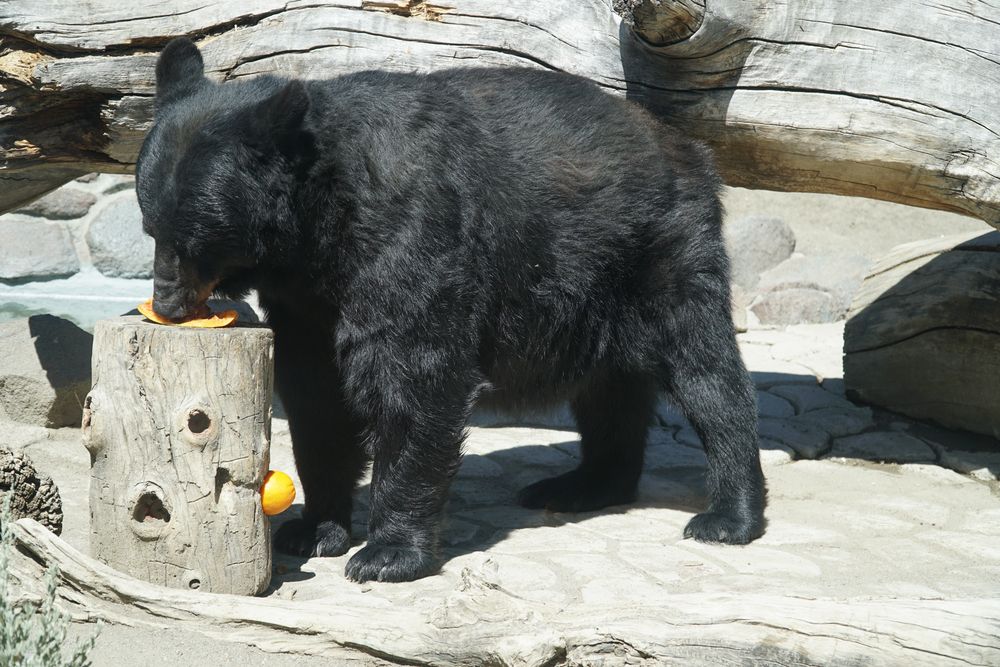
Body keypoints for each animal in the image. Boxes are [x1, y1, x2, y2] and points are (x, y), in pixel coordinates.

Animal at [136, 37, 766, 583]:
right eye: (152, 226)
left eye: (194, 238)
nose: (166, 303)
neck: (321, 232)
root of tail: (688, 148)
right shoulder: (306, 299)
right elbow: (316, 393)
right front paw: (313, 528)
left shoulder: (412, 238)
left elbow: (417, 376)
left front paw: (387, 553)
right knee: (609, 392)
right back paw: (579, 484)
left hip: (661, 250)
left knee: (704, 369)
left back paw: (726, 515)